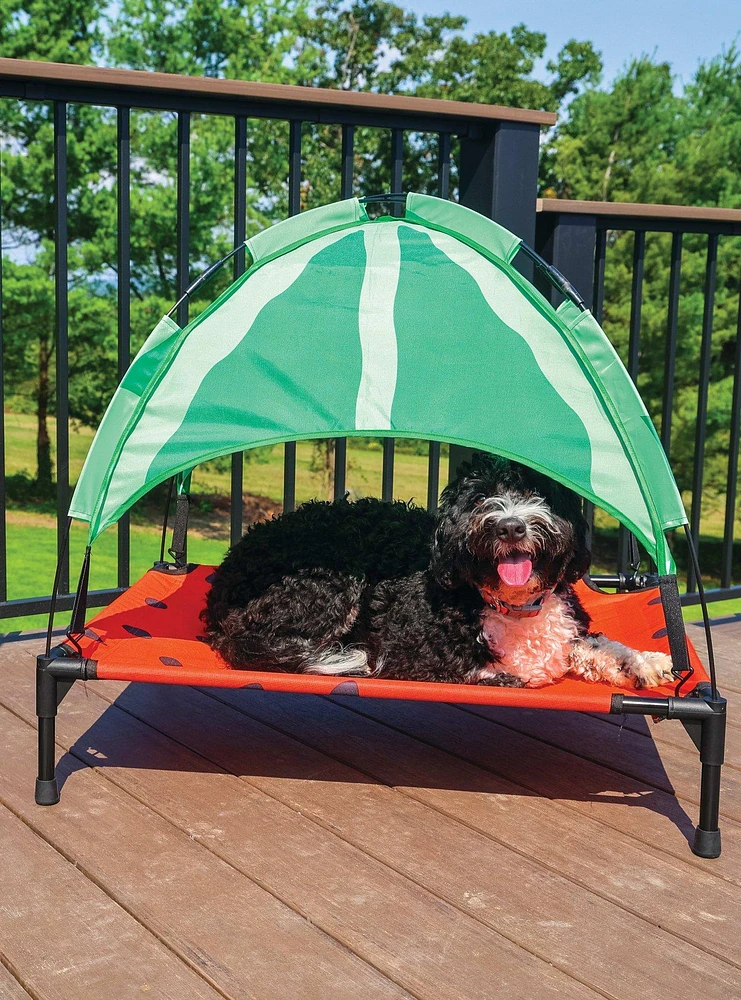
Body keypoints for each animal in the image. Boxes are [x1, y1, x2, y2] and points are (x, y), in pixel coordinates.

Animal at [204, 456, 600, 684]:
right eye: (479, 499)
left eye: (538, 494)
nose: (511, 527)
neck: (513, 606)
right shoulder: (407, 653)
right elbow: (468, 670)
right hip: (332, 582)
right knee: (259, 641)